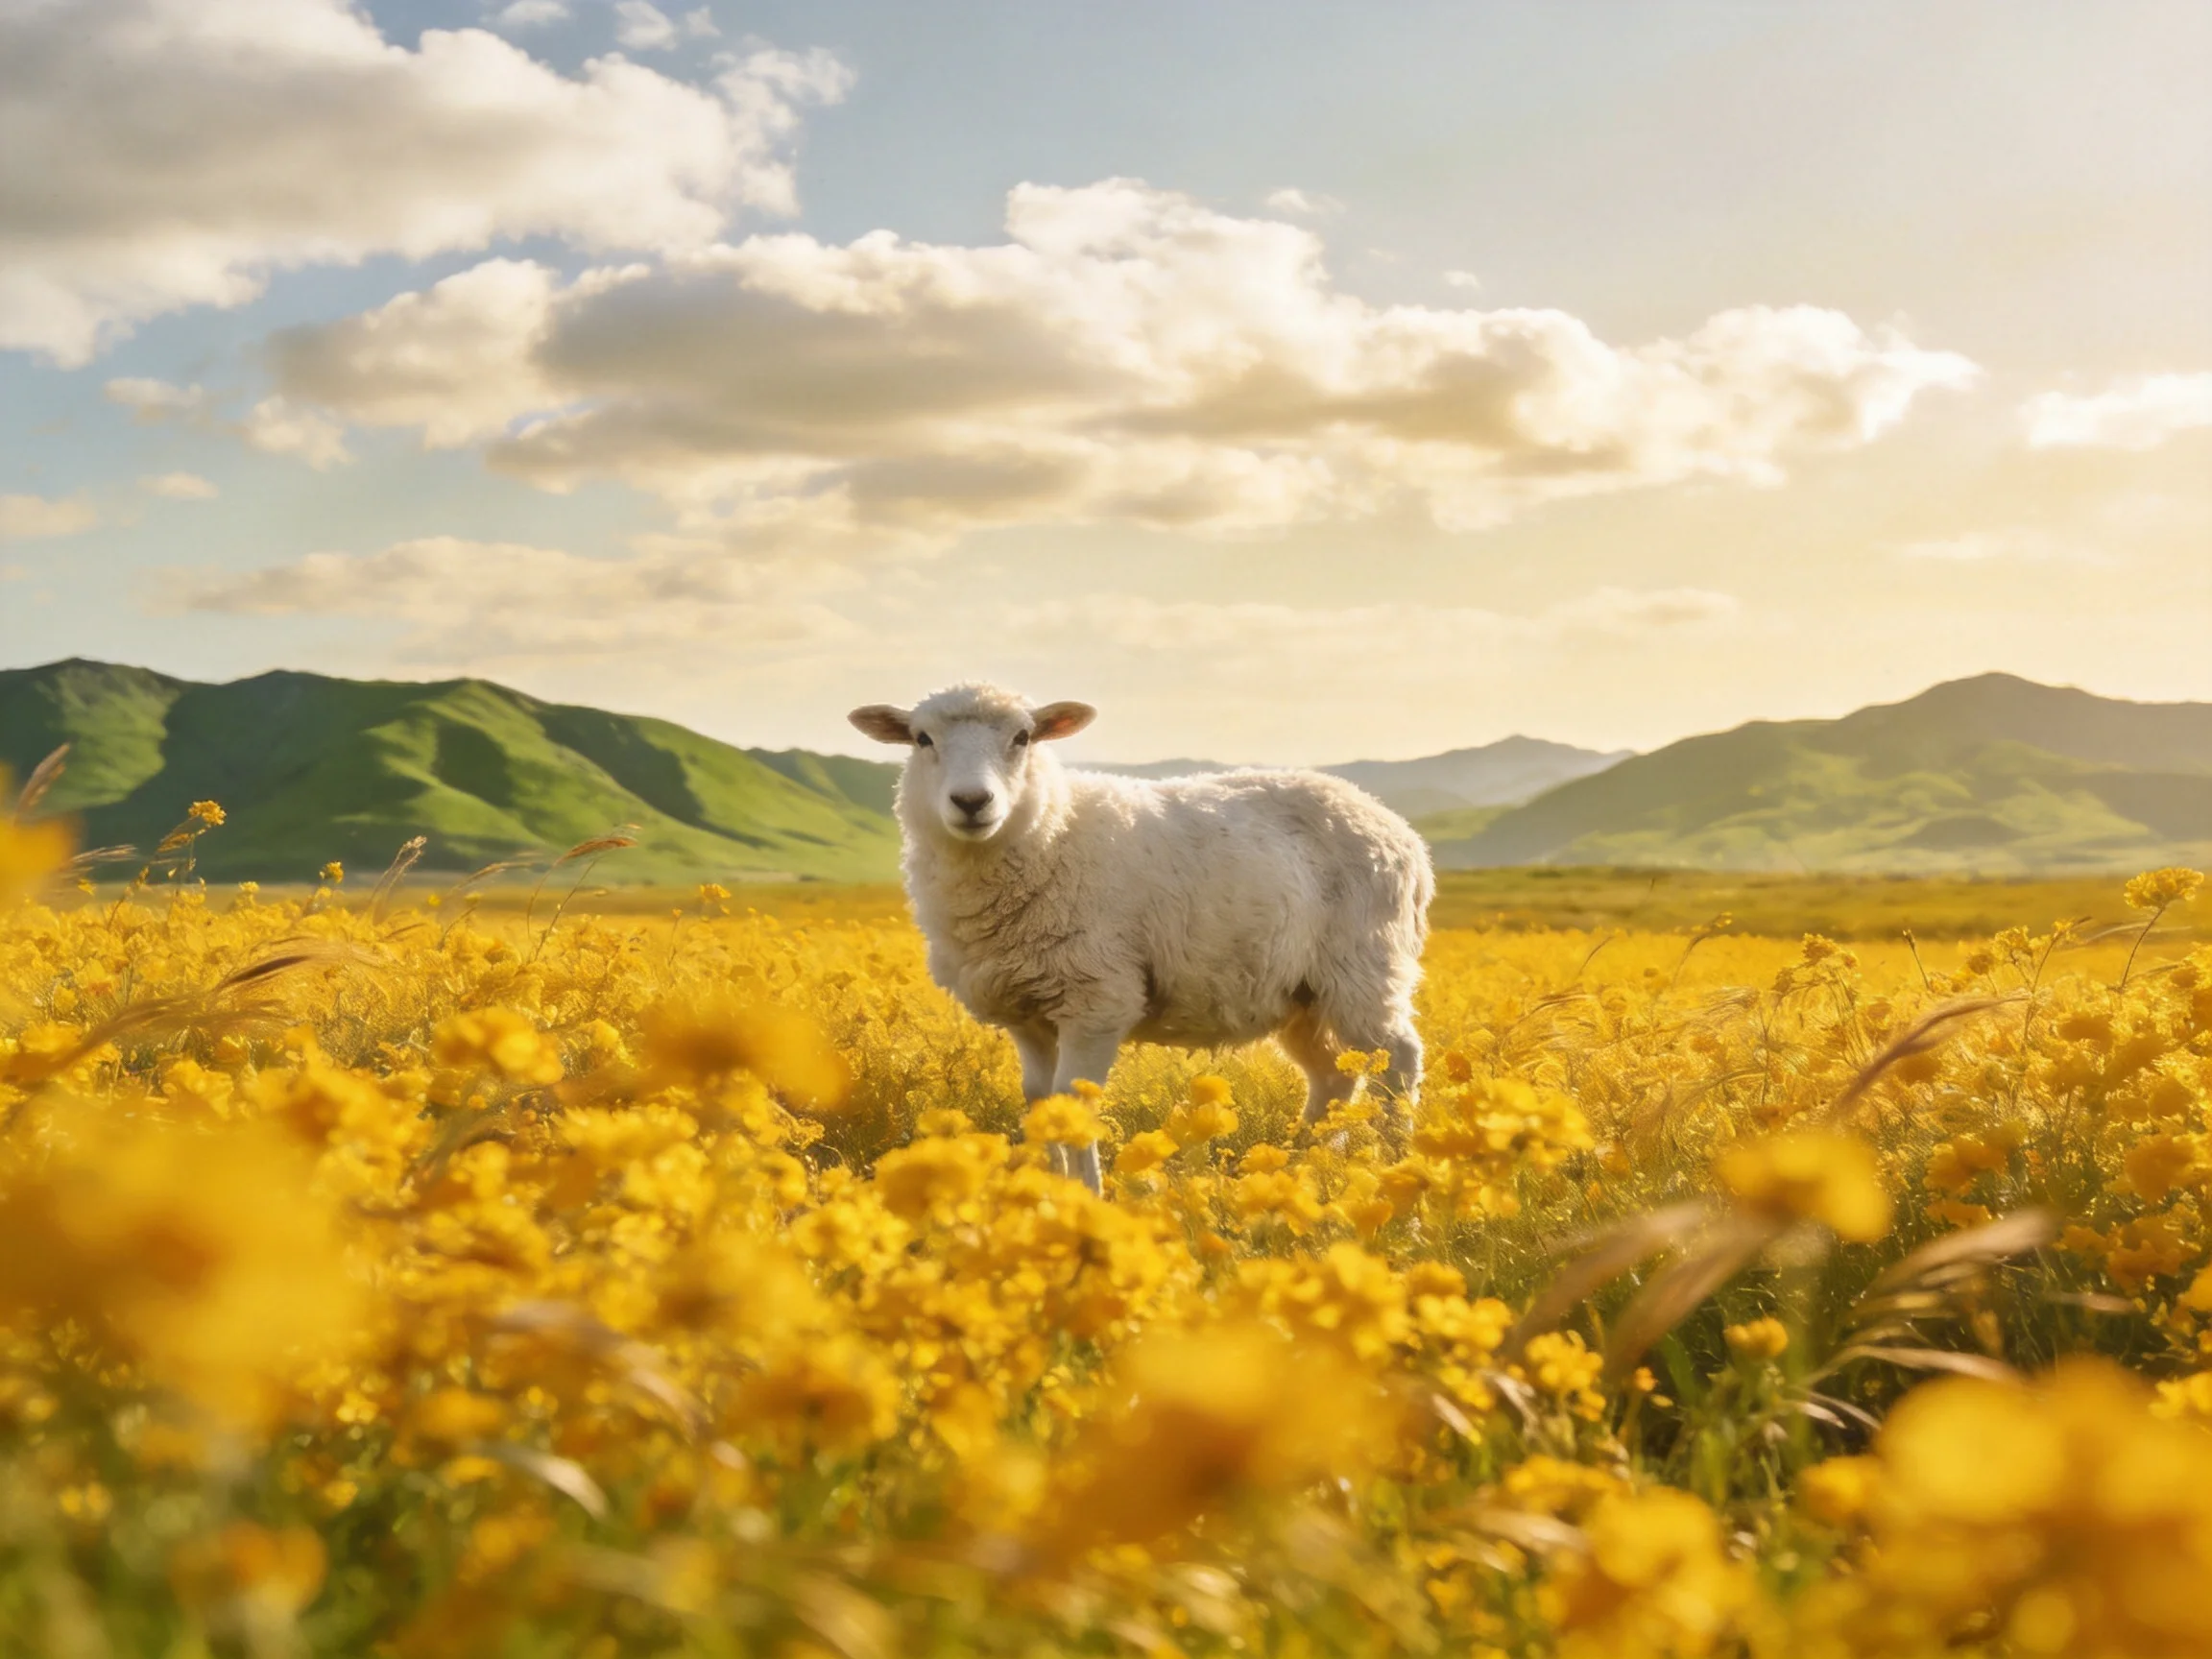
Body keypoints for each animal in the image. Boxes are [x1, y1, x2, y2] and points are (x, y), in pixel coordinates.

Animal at [848, 682, 1433, 1194]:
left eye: (1023, 737)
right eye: (922, 739)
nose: (972, 801)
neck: (1052, 831)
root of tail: (1403, 833)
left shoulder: (1097, 998)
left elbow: (1072, 1103)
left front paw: (1088, 1198)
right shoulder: (1025, 1009)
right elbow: (1040, 1103)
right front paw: (1049, 1194)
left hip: (1364, 967)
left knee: (1397, 1063)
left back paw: (1399, 1175)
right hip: (1300, 993)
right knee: (1333, 1075)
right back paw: (1291, 1167)